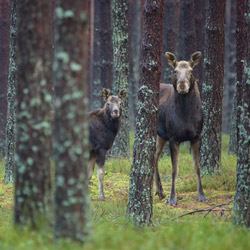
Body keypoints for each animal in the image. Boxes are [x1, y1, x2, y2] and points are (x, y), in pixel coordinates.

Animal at [154, 50, 207, 205]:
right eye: (175, 71)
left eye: (191, 71)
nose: (182, 86)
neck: (186, 115)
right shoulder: (173, 138)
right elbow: (174, 169)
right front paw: (172, 198)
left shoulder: (197, 136)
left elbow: (197, 167)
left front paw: (201, 195)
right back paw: (161, 191)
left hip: (161, 136)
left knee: (154, 156)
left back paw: (160, 191)